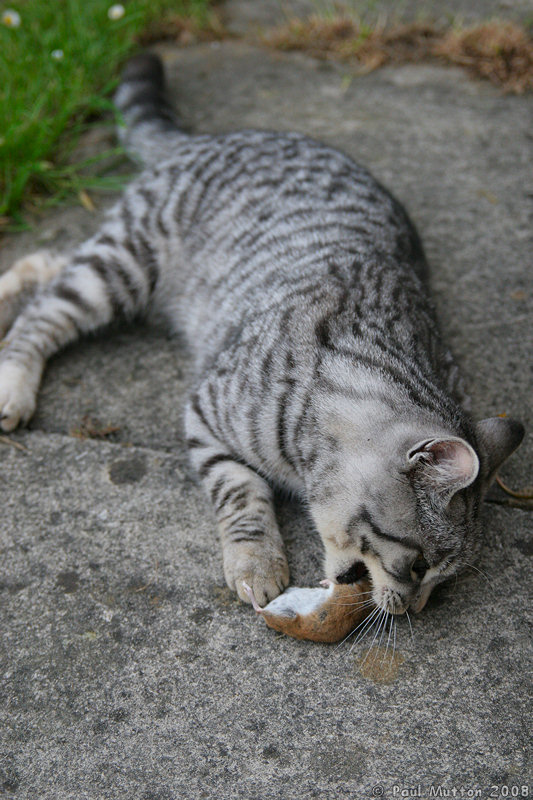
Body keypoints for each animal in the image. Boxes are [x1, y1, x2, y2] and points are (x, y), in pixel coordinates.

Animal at [0, 54, 524, 612]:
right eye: (420, 565)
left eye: (443, 583)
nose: (414, 610)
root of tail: (203, 139)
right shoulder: (205, 415)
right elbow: (241, 494)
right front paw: (256, 561)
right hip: (124, 267)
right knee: (45, 307)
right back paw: (14, 384)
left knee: (45, 263)